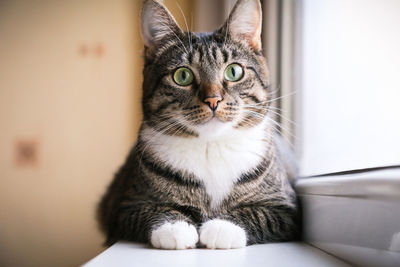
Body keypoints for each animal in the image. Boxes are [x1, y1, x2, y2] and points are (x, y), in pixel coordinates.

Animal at [98, 0, 298, 251]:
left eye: (234, 71)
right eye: (182, 76)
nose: (213, 100)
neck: (211, 147)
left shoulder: (286, 207)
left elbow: (260, 214)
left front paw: (221, 228)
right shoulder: (124, 205)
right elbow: (150, 210)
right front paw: (174, 227)